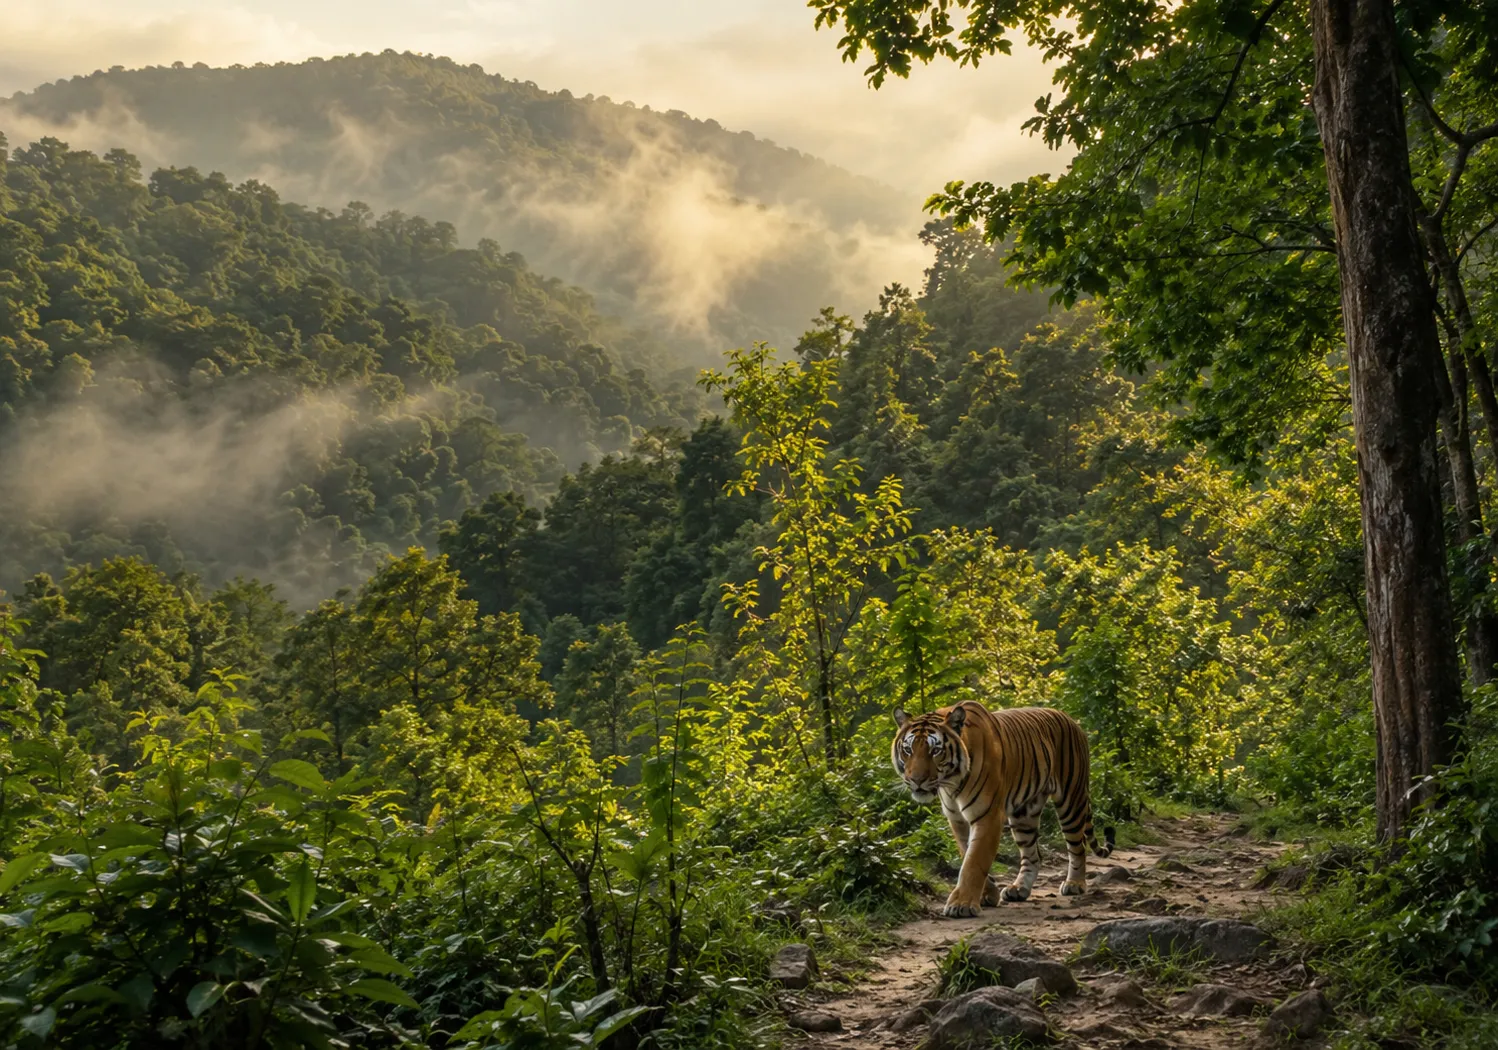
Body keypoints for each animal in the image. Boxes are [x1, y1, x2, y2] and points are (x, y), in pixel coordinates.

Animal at [891, 700, 1114, 917]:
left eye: (935, 750)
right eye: (908, 750)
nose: (916, 780)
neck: (951, 783)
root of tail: (1071, 719)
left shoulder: (987, 816)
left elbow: (975, 861)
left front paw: (962, 904)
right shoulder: (957, 820)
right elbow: (967, 854)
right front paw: (988, 895)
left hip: (1071, 800)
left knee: (1078, 846)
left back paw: (1074, 883)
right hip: (1023, 815)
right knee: (1033, 855)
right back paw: (1019, 889)